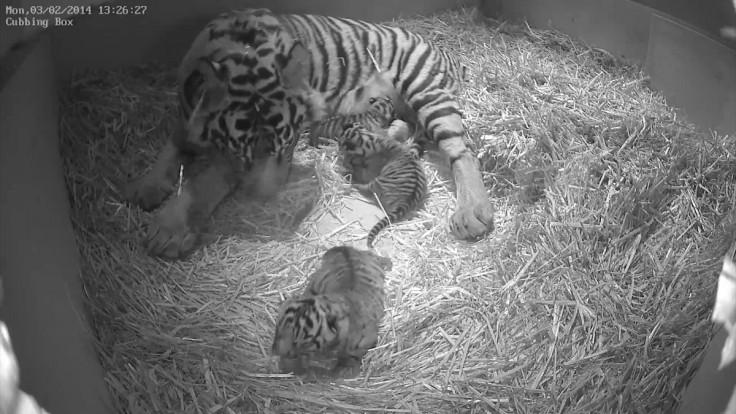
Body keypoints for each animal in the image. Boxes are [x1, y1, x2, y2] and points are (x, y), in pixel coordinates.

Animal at [126, 8, 494, 258]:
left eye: (288, 145)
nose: (267, 197)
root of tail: (442, 49)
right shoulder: (187, 114)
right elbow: (173, 144)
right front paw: (148, 186)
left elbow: (207, 178)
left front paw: (169, 228)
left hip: (426, 91)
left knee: (462, 152)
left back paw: (470, 213)